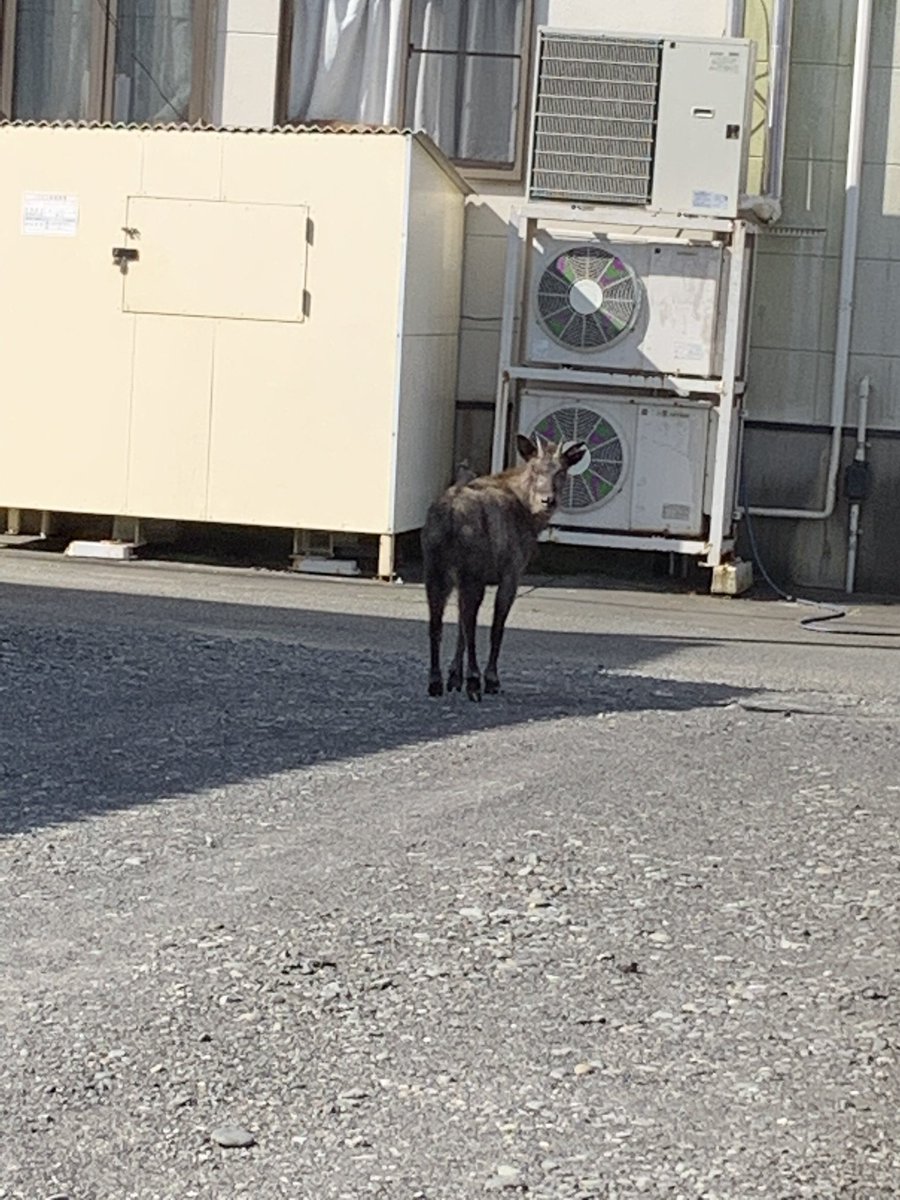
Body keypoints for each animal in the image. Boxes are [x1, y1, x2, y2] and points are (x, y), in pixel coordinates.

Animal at [421, 434, 587, 701]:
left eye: (561, 471)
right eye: (534, 469)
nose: (547, 500)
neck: (528, 515)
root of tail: (450, 516)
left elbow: (458, 626)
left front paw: (454, 677)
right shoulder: (512, 571)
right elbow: (496, 627)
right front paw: (490, 679)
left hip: (435, 568)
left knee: (436, 622)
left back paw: (436, 682)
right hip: (471, 570)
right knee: (470, 622)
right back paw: (474, 681)